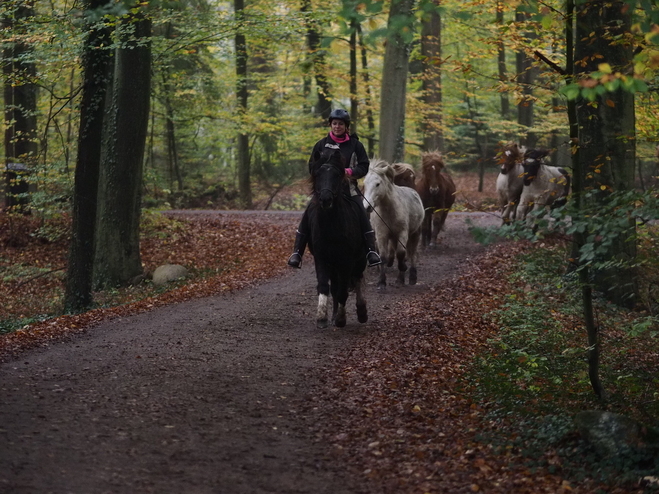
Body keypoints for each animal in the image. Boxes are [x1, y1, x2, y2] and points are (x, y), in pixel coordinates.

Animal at [306, 149, 368, 330]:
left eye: (337, 174)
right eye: (317, 174)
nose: (326, 199)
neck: (331, 227)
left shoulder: (346, 261)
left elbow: (343, 290)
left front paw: (341, 319)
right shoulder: (321, 258)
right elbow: (324, 286)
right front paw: (322, 317)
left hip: (359, 260)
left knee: (357, 278)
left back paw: (361, 311)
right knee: (335, 286)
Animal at [364, 158, 426, 290]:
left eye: (378, 184)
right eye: (365, 183)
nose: (367, 206)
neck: (389, 210)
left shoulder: (402, 233)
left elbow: (401, 254)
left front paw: (402, 272)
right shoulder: (381, 234)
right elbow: (383, 257)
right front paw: (381, 282)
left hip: (415, 233)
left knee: (412, 253)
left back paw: (412, 276)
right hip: (393, 237)